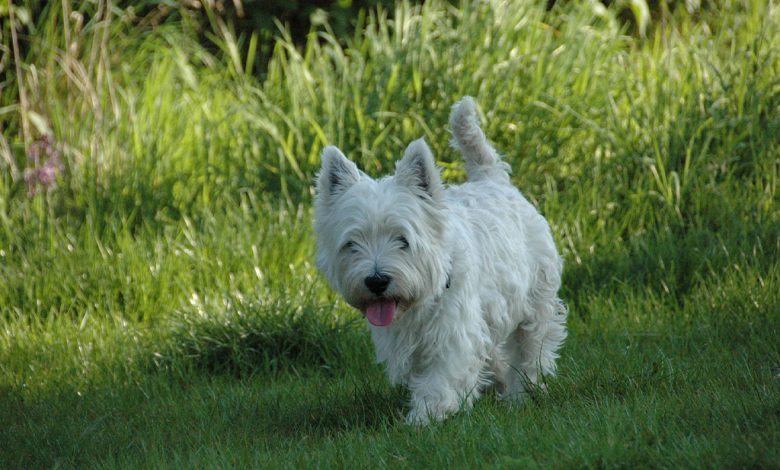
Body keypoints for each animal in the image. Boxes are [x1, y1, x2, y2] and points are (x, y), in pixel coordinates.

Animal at [316, 97, 568, 424]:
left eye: (403, 240)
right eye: (351, 244)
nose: (376, 281)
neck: (417, 303)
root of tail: (492, 179)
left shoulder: (454, 331)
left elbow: (441, 378)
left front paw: (424, 418)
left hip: (536, 299)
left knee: (531, 347)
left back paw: (521, 394)